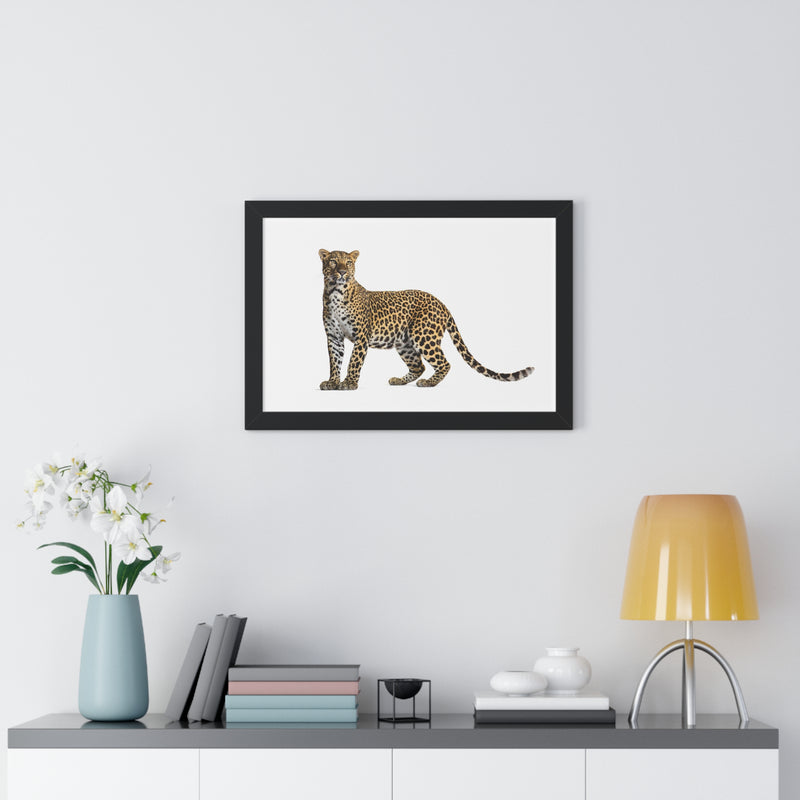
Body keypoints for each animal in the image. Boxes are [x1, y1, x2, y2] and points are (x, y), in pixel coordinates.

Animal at [319, 248, 534, 390]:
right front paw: (332, 382)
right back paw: (399, 380)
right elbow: (335, 360)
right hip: (405, 343)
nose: (342, 272)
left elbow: (354, 361)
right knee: (419, 365)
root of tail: (441, 303)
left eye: (348, 263)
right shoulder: (334, 336)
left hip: (424, 336)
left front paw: (349, 383)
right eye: (333, 261)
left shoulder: (361, 336)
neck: (335, 292)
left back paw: (429, 383)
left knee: (444, 363)